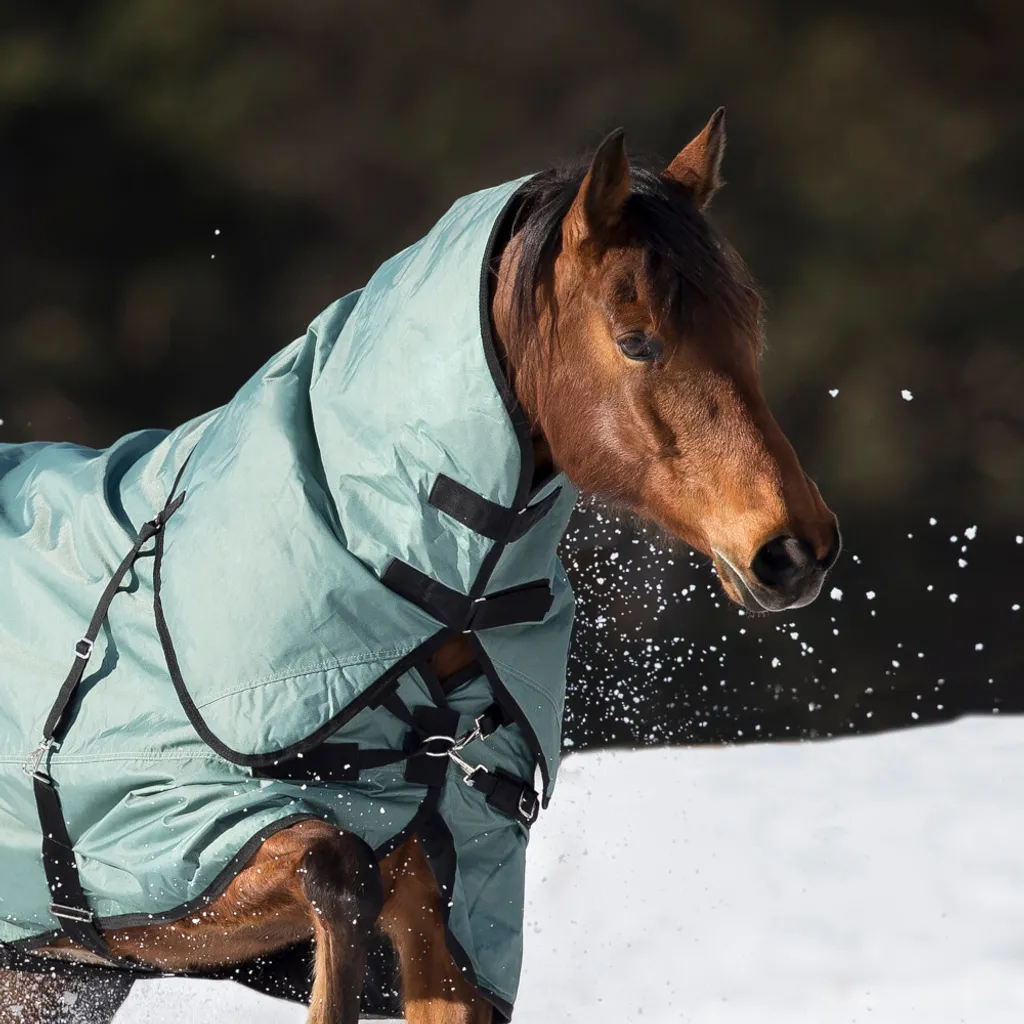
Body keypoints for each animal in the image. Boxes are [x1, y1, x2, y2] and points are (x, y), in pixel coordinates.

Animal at [0, 109, 839, 1024]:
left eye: (749, 322)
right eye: (636, 341)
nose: (795, 549)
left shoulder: (455, 916)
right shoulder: (174, 842)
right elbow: (337, 874)